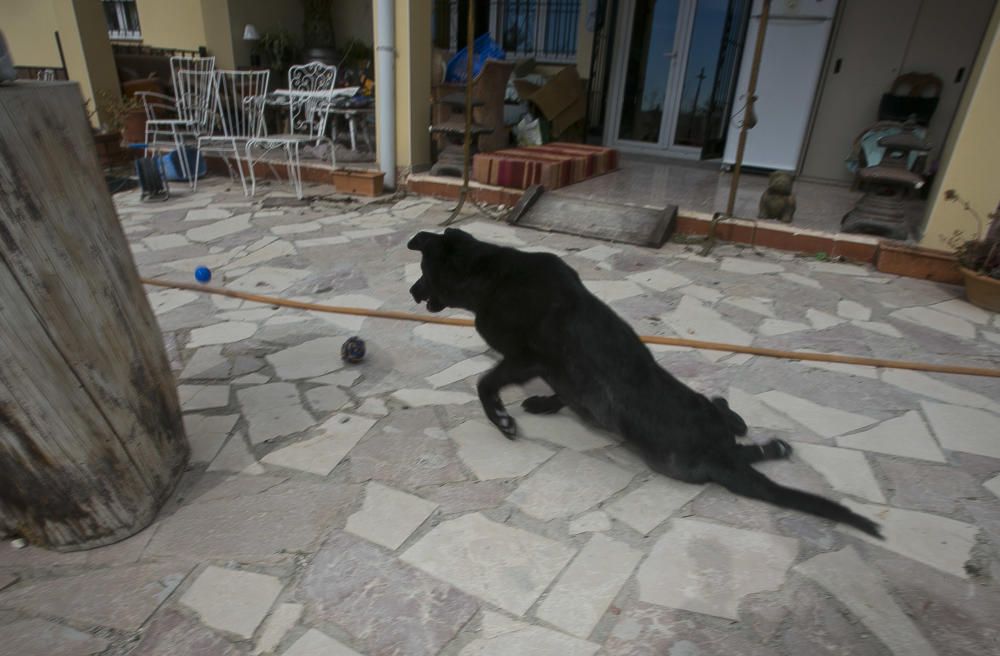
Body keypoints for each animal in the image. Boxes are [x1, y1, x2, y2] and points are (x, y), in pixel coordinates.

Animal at [406, 227, 884, 540]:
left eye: (424, 269)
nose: (411, 292)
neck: (489, 273)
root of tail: (718, 453)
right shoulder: (545, 368)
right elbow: (555, 390)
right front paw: (543, 403)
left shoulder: (523, 359)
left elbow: (485, 385)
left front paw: (503, 419)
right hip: (708, 429)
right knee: (736, 425)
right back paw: (772, 445)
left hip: (671, 460)